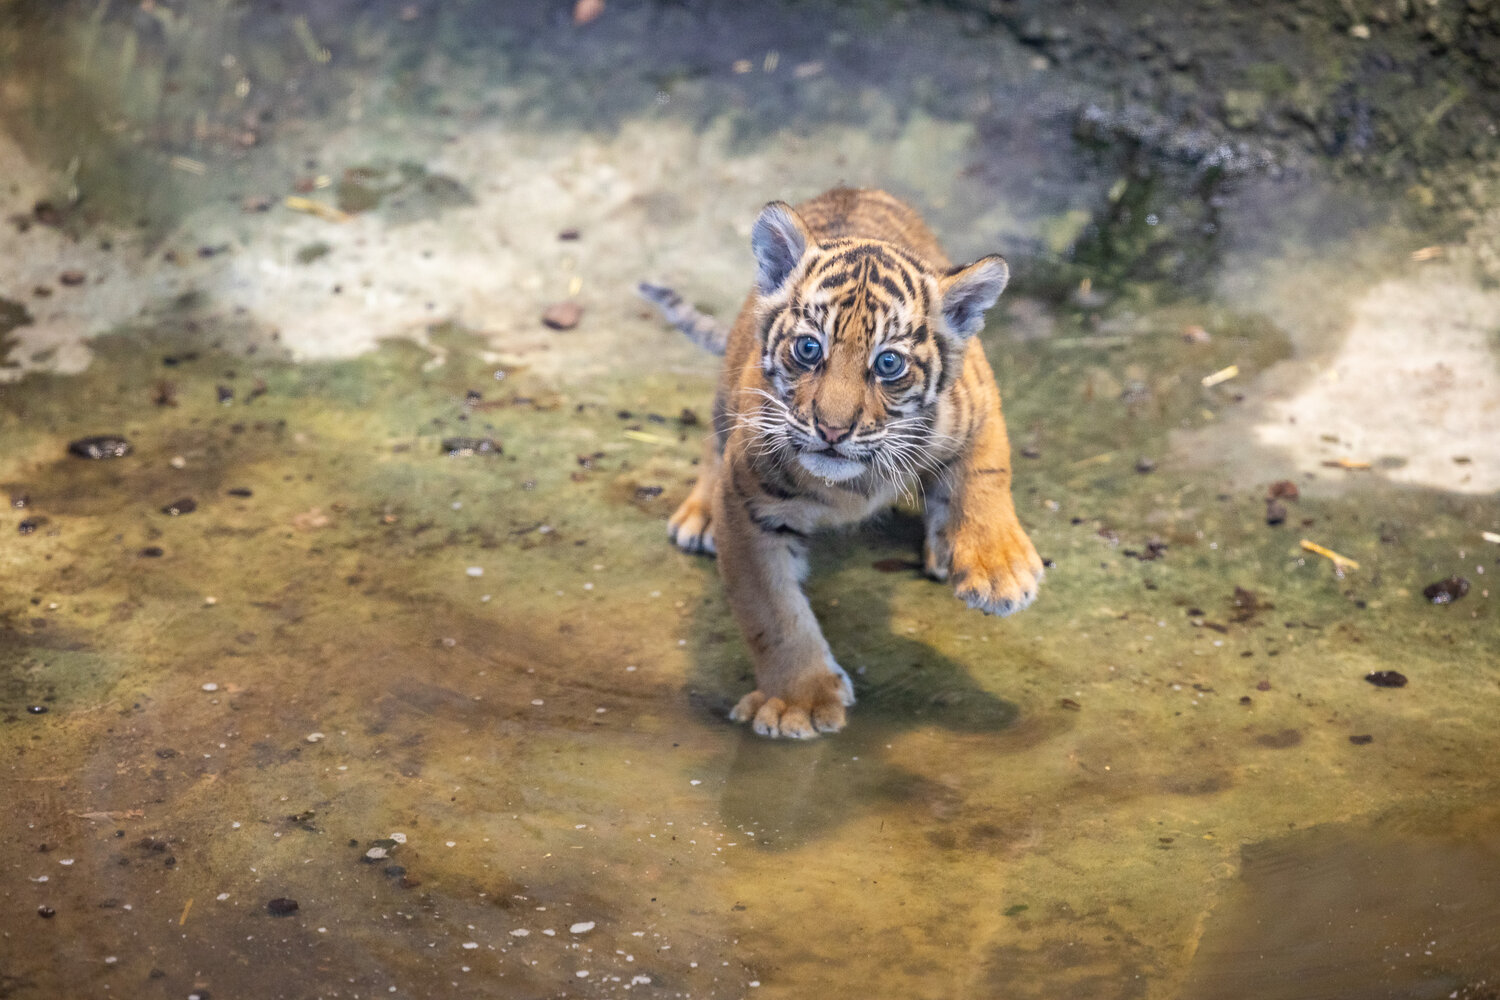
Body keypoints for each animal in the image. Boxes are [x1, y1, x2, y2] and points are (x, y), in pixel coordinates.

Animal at [640, 187, 1043, 739]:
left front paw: (999, 570)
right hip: (728, 397)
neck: (857, 481)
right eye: (809, 349)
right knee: (712, 438)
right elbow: (774, 613)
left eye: (888, 363)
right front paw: (798, 701)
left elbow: (985, 476)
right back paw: (697, 518)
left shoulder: (979, 405)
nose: (832, 430)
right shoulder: (747, 508)